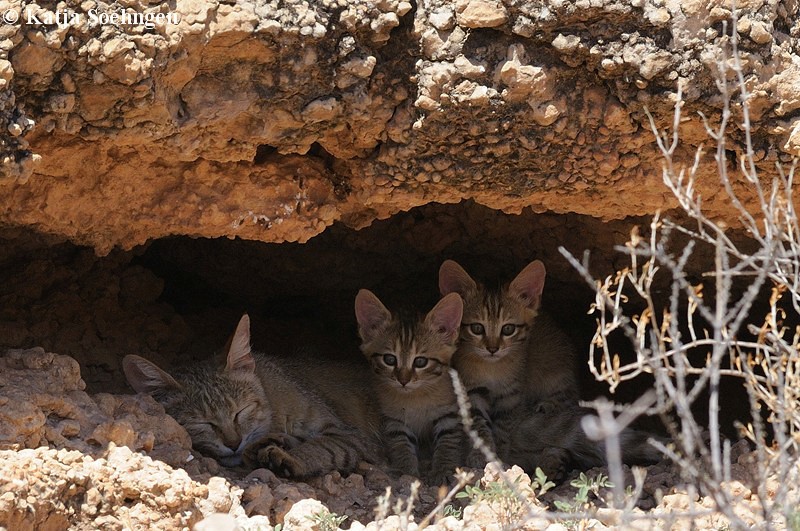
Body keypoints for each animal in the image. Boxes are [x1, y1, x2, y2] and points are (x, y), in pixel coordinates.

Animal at [123, 314, 380, 480]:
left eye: (240, 412)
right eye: (203, 424)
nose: (233, 444)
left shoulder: (350, 434)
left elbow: (322, 447)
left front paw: (292, 459)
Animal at [356, 290, 468, 486]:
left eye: (420, 361)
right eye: (389, 359)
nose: (403, 380)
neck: (416, 398)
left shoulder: (449, 413)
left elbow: (448, 441)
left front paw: (443, 469)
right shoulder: (393, 419)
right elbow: (400, 443)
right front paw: (406, 470)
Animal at [440, 260, 580, 466]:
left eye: (508, 329)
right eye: (476, 328)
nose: (493, 349)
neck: (492, 369)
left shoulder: (511, 395)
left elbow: (503, 427)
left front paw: (498, 454)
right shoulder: (472, 390)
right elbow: (480, 424)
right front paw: (482, 453)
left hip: (556, 366)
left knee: (568, 395)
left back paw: (548, 405)